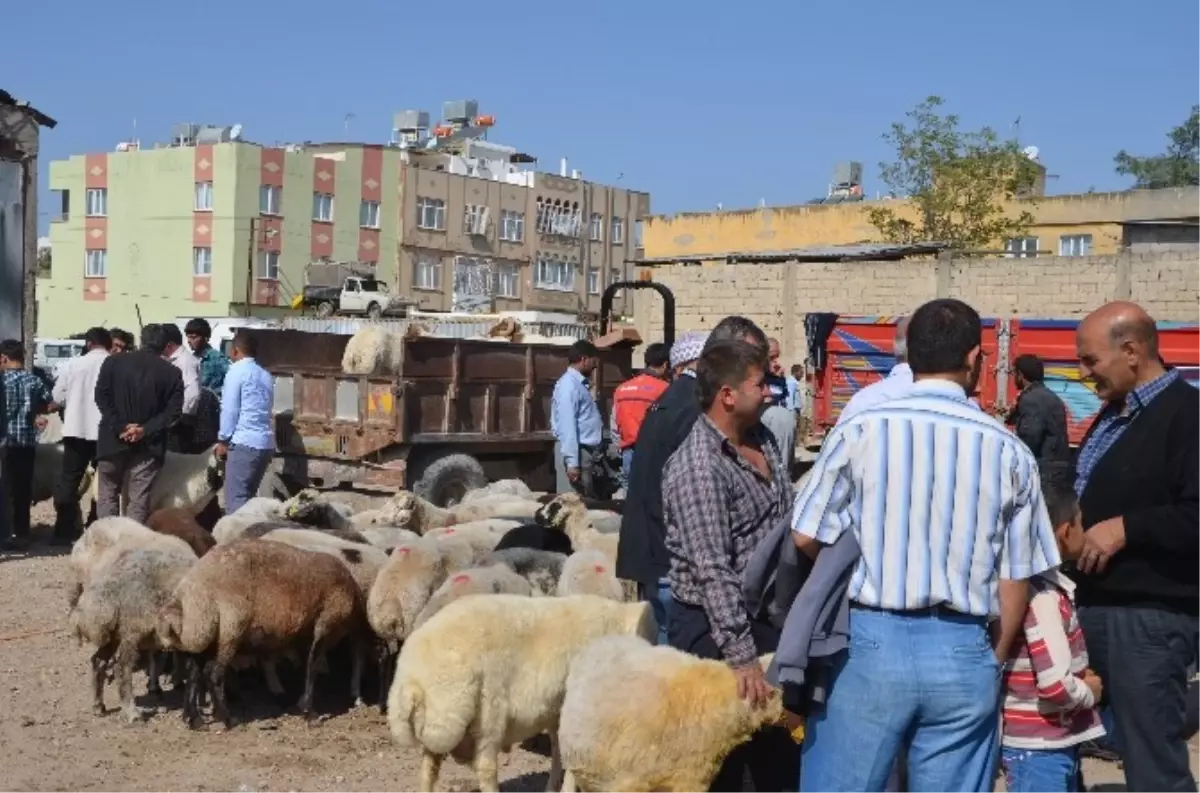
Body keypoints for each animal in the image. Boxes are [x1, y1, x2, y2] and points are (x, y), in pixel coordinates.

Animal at [68, 547, 194, 719]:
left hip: (115, 634)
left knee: (98, 661)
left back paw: (98, 706)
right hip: (132, 627)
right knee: (122, 667)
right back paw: (131, 712)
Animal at [157, 537, 367, 729]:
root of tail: (189, 592)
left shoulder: (307, 632)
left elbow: (306, 665)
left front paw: (302, 704)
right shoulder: (325, 622)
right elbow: (312, 666)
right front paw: (309, 712)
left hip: (206, 633)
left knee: (193, 673)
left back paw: (194, 719)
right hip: (230, 630)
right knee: (214, 674)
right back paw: (228, 719)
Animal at [386, 595, 657, 791]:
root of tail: (410, 679)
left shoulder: (557, 710)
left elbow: (559, 751)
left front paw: (554, 787)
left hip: (439, 721)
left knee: (428, 770)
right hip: (487, 712)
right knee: (485, 767)